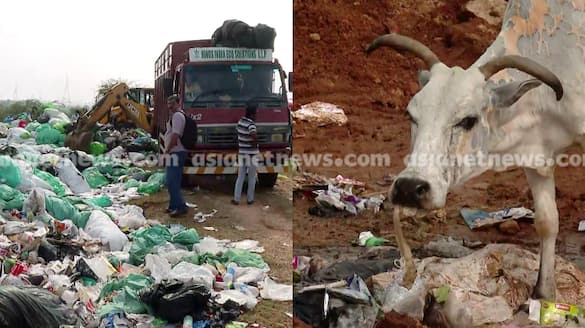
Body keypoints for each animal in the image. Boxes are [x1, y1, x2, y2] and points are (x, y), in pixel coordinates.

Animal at [368, 0, 580, 302]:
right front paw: (545, 293)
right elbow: (547, 221)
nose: (409, 188)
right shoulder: (537, 158)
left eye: (468, 120)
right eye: (411, 114)